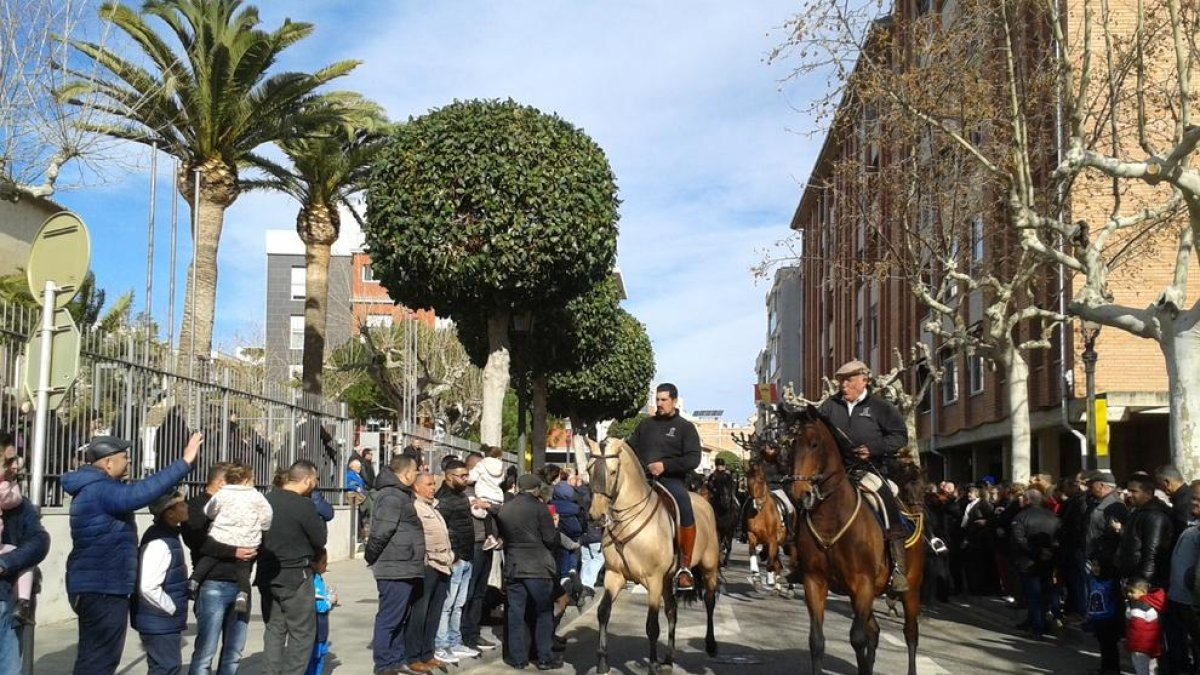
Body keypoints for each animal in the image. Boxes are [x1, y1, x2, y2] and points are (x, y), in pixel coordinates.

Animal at [585, 439, 715, 667]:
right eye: (589, 470)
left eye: (613, 471)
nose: (596, 515)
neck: (628, 523)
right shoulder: (614, 575)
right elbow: (603, 612)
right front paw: (602, 662)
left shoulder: (653, 580)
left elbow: (652, 626)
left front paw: (652, 665)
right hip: (667, 580)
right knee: (672, 610)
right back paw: (669, 657)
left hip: (709, 568)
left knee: (709, 601)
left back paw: (710, 645)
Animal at [744, 461, 792, 593]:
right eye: (747, 481)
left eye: (761, 480)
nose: (756, 504)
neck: (761, 513)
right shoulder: (752, 536)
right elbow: (752, 553)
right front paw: (756, 577)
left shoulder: (772, 540)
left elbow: (770, 562)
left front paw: (769, 579)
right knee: (779, 564)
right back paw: (778, 587)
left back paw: (789, 588)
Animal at [777, 401, 926, 667]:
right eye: (788, 445)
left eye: (814, 444)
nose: (799, 493)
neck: (832, 518)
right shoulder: (815, 582)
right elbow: (817, 641)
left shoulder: (863, 584)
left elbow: (857, 638)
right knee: (874, 631)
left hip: (911, 590)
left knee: (910, 634)